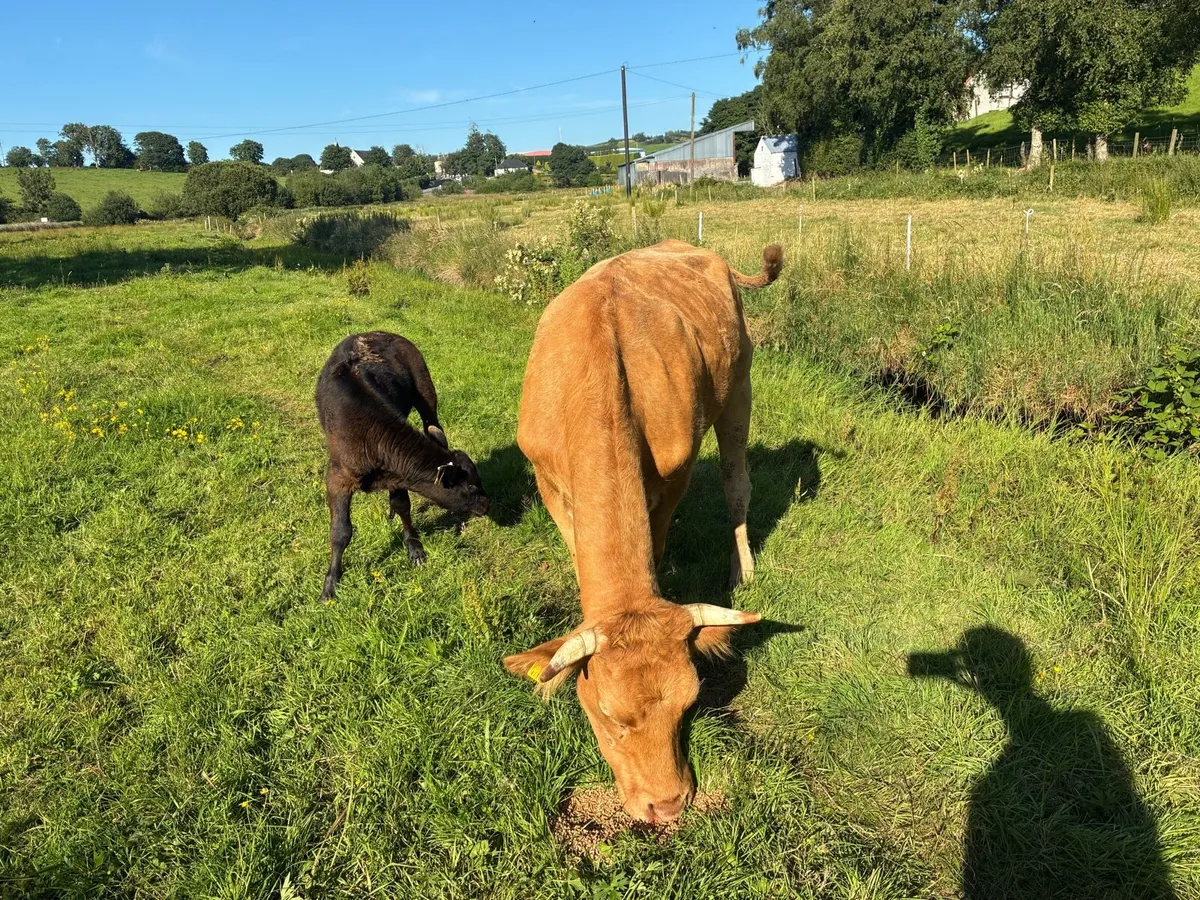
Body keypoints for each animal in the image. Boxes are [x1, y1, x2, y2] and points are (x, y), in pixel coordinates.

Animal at [315, 331, 489, 600]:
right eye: (470, 488)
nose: (486, 504)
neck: (370, 434)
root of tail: (374, 333)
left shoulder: (397, 474)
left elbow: (402, 505)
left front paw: (414, 547)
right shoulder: (338, 478)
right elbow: (340, 531)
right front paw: (331, 582)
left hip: (426, 393)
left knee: (433, 424)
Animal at [504, 240, 783, 823]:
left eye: (690, 703)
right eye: (610, 716)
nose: (669, 805)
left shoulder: (675, 471)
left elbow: (656, 537)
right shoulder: (547, 481)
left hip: (739, 388)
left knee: (737, 484)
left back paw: (741, 568)